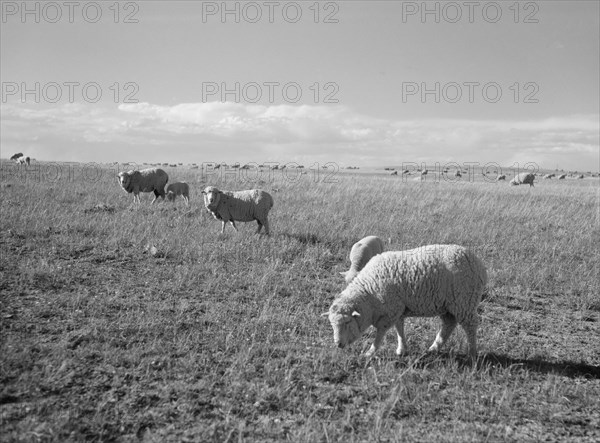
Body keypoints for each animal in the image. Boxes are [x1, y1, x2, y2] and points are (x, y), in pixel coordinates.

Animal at [324, 245, 488, 360]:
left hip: (464, 301)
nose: (338, 344)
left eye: (347, 322)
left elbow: (380, 334)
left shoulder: (390, 312)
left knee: (470, 325)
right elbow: (399, 329)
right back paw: (434, 348)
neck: (369, 293)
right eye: (332, 324)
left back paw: (472, 353)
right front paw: (402, 349)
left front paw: (370, 353)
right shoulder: (398, 308)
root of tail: (478, 263)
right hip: (448, 305)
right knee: (449, 324)